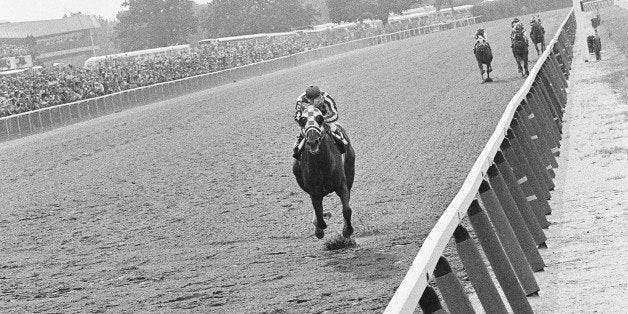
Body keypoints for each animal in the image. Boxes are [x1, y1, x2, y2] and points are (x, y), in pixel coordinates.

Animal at [294, 104, 356, 239]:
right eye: (302, 120)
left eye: (320, 118)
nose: (313, 141)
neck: (322, 165)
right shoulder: (314, 191)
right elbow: (319, 215)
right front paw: (319, 228)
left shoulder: (341, 185)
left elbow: (347, 210)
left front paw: (347, 230)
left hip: (350, 172)